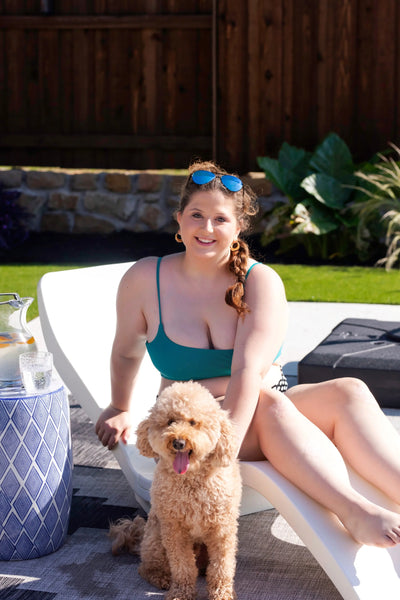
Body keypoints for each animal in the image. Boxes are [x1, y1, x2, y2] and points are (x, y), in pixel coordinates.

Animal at [108, 380, 242, 600]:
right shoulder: (174, 530)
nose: (178, 442)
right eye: (170, 421)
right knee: (145, 567)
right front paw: (181, 593)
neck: (191, 481)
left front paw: (221, 593)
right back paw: (162, 578)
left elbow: (221, 567)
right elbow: (182, 566)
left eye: (193, 422)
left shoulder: (221, 530)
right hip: (156, 537)